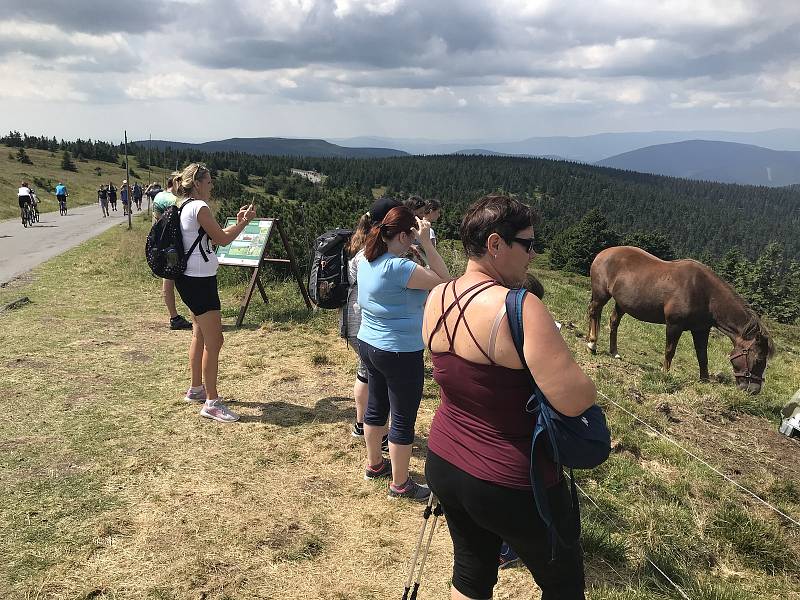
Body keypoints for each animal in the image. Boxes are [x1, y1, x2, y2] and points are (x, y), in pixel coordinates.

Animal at [588, 245, 776, 394]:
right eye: (758, 359)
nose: (754, 390)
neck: (705, 294)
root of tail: (603, 253)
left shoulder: (701, 330)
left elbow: (702, 355)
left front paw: (704, 380)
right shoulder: (674, 325)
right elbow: (670, 351)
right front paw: (664, 374)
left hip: (622, 304)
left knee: (613, 321)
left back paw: (614, 352)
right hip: (600, 295)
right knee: (593, 313)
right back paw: (592, 344)